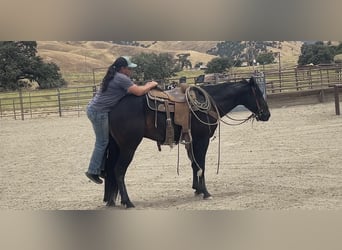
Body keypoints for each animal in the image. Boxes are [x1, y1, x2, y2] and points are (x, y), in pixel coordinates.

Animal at [103, 75, 270, 207]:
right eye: (258, 94)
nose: (267, 114)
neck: (211, 102)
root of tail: (112, 108)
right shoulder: (202, 140)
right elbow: (201, 164)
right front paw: (206, 192)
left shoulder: (192, 141)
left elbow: (194, 164)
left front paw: (197, 189)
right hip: (128, 147)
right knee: (119, 170)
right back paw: (127, 202)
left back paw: (113, 201)